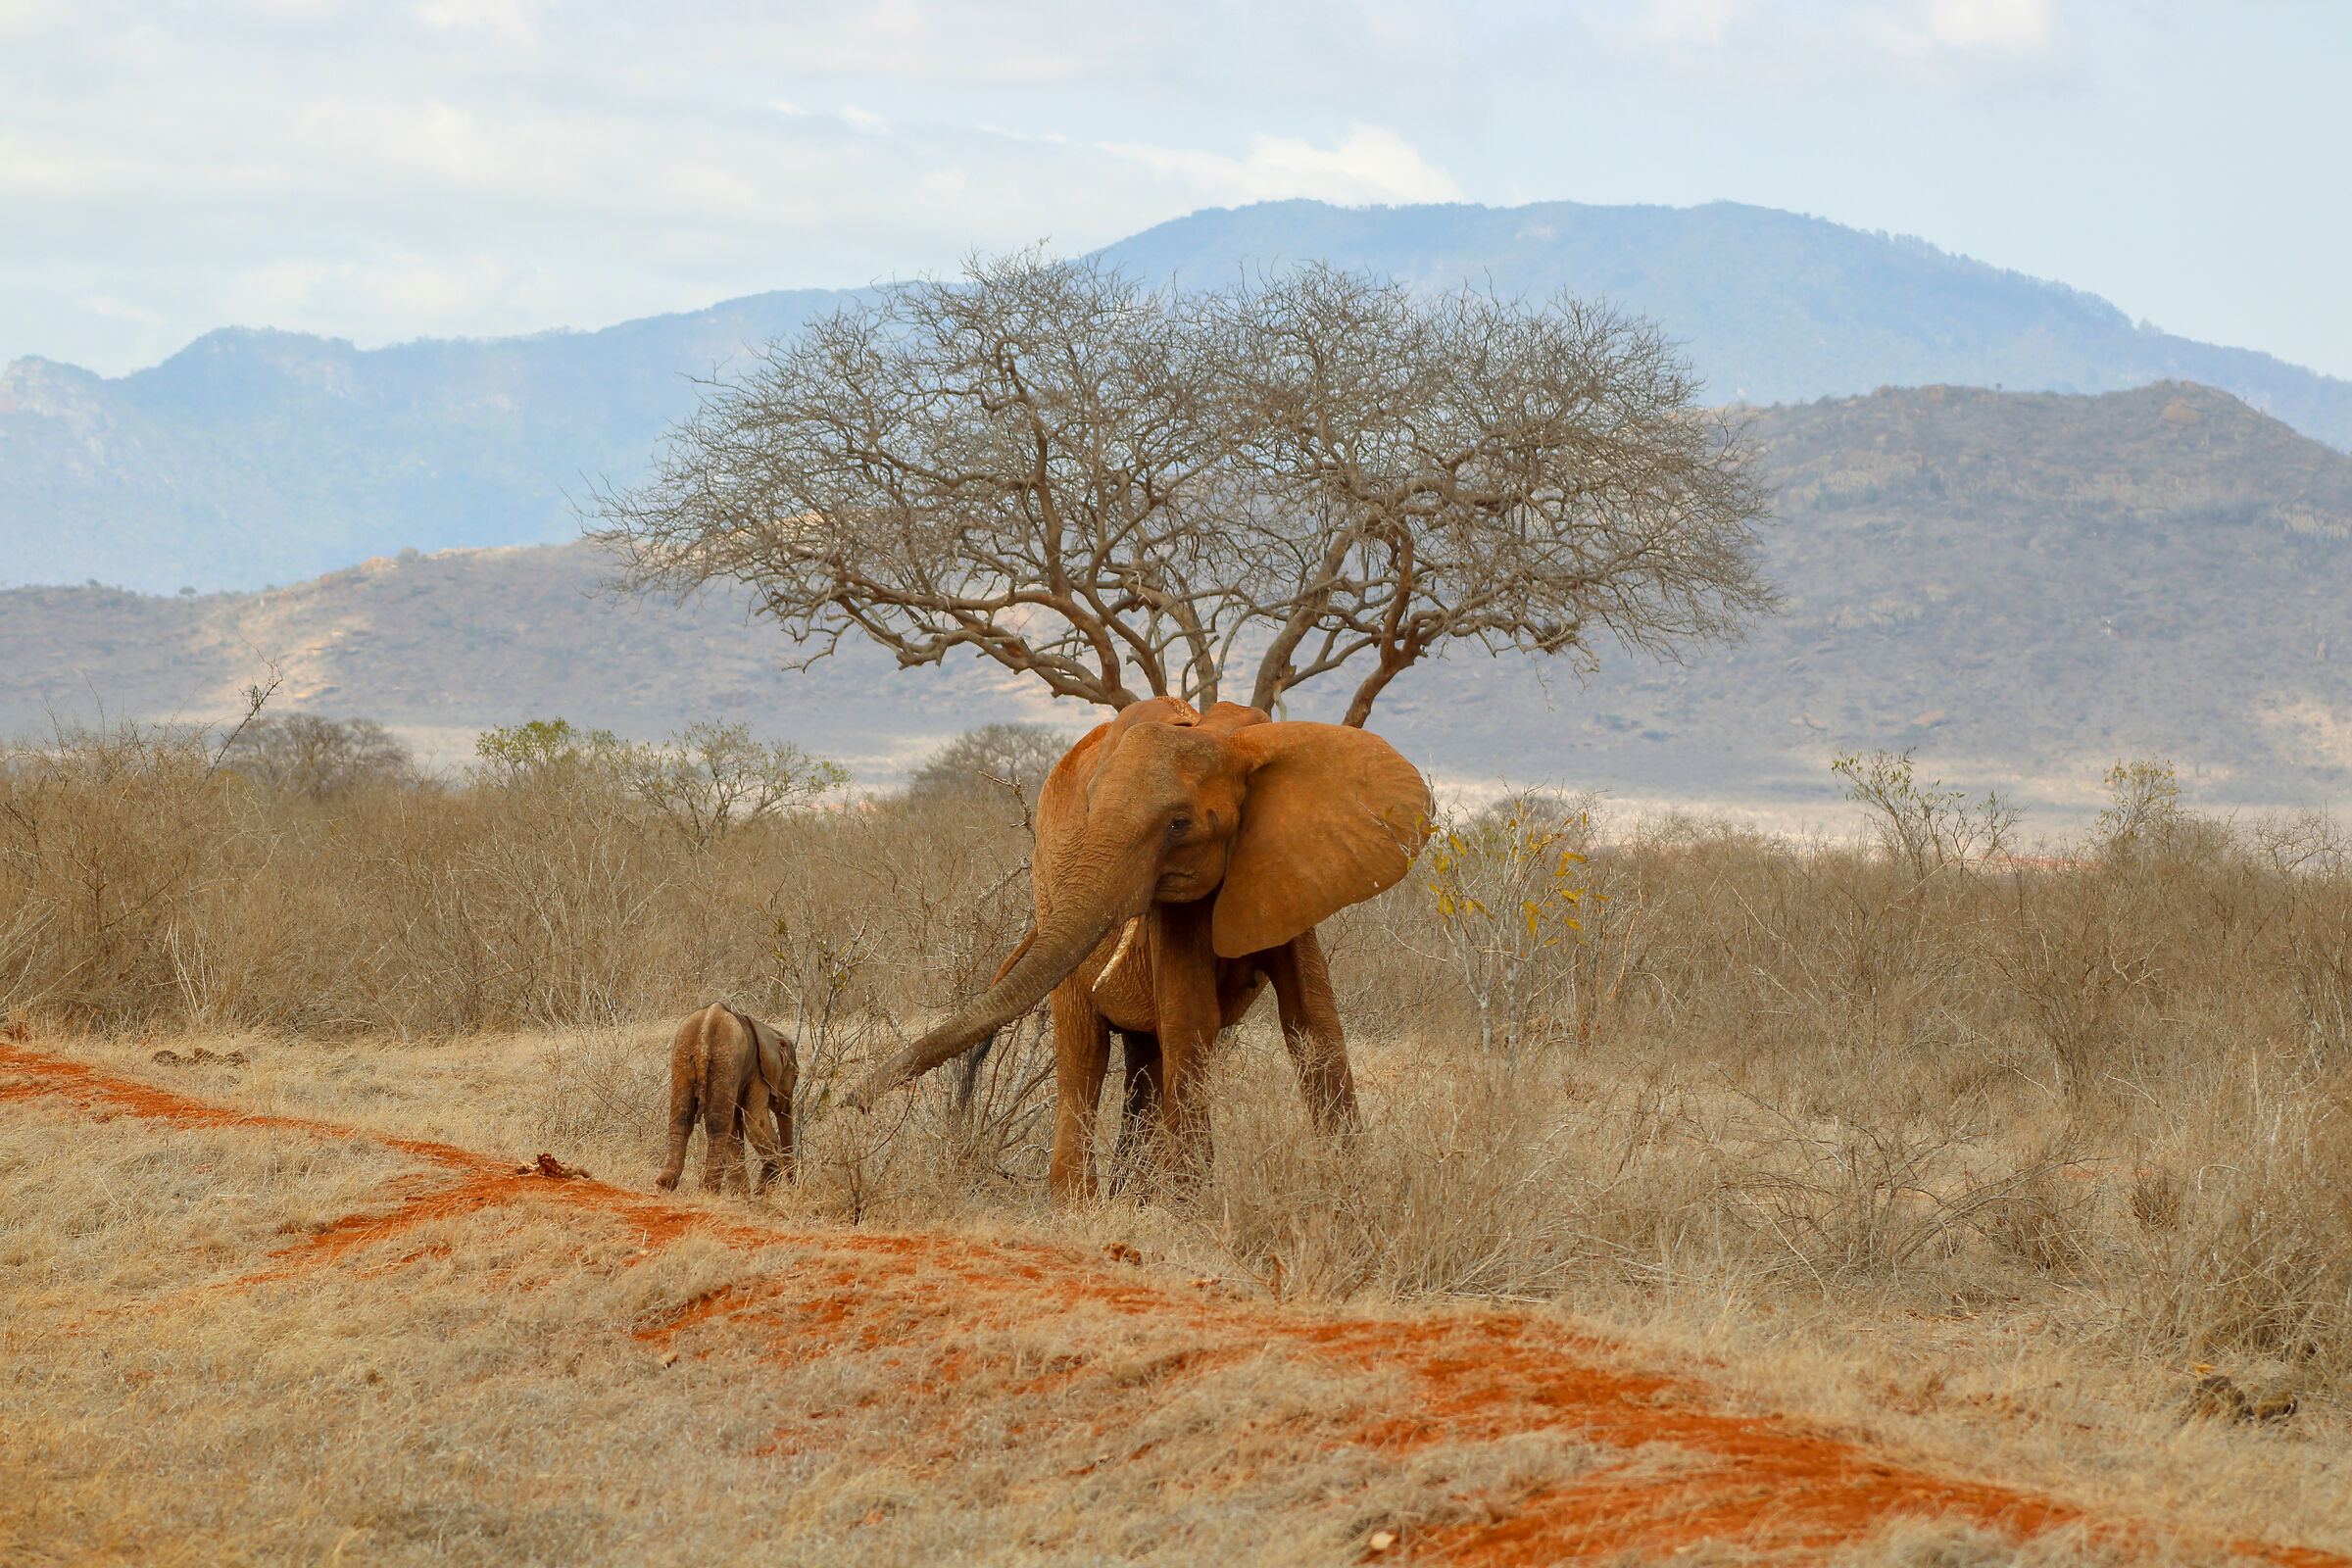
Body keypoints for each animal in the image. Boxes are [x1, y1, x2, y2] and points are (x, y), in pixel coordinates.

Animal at [655, 1003, 798, 1194]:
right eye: (796, 1076)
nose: (796, 1187)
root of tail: (705, 1032)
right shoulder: (758, 1073)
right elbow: (753, 1124)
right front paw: (757, 1194)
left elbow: (735, 1126)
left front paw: (743, 1192)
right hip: (726, 1060)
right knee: (717, 1124)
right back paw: (708, 1189)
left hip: (683, 1057)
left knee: (682, 1120)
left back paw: (665, 1184)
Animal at [848, 697, 1430, 1198]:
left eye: (1179, 825)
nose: (851, 1101)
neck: (1228, 737)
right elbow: (1191, 1019)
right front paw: (1189, 1209)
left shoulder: (1285, 868)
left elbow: (1313, 1021)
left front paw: (1352, 1198)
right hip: (1048, 897)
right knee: (1084, 1053)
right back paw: (1078, 1207)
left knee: (1143, 1060)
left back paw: (1130, 1197)